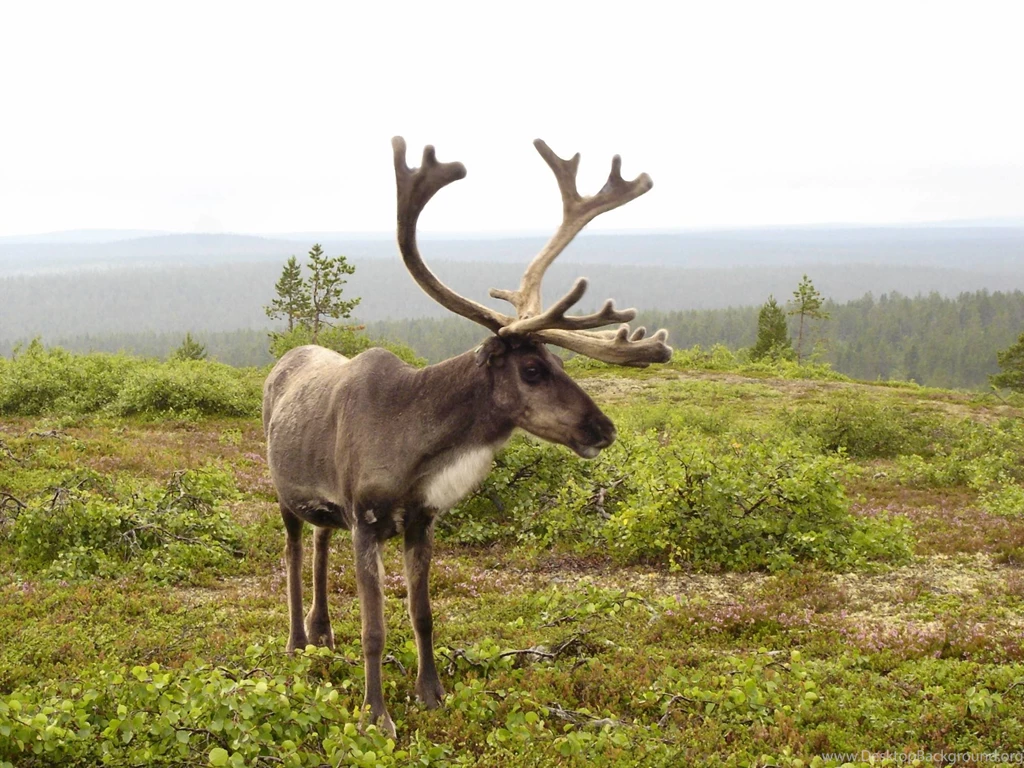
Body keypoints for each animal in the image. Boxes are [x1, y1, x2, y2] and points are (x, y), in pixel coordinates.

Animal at [261, 137, 672, 736]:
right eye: (532, 369)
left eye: (558, 360)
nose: (604, 428)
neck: (417, 447)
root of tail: (282, 362)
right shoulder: (366, 520)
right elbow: (375, 629)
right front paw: (376, 715)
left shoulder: (421, 521)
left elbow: (423, 615)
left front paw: (431, 695)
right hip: (284, 492)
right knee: (292, 553)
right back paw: (296, 641)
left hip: (327, 508)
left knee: (318, 541)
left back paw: (321, 632)